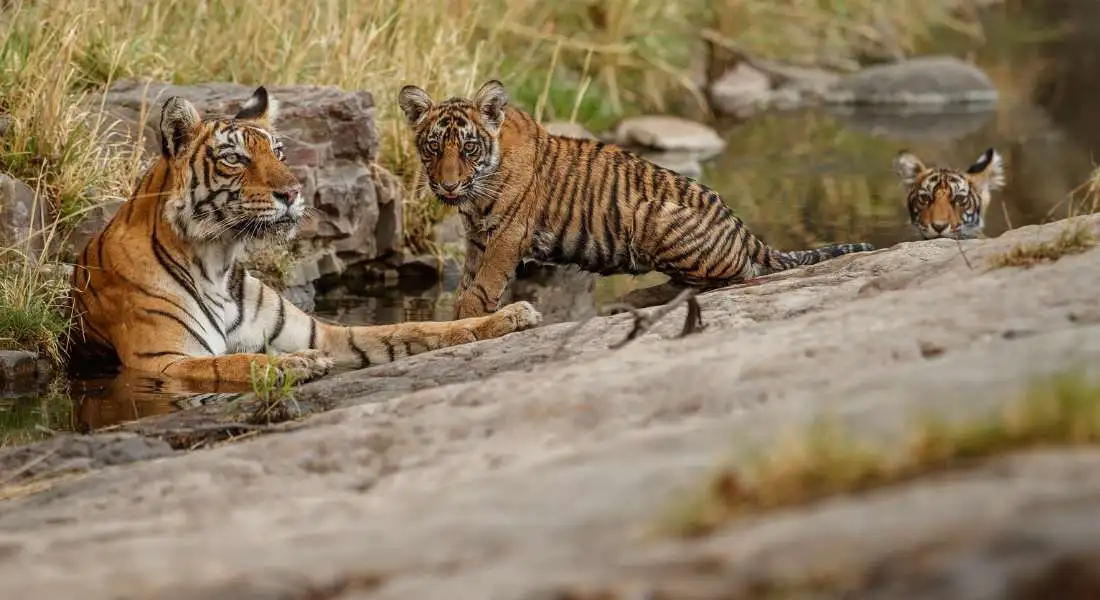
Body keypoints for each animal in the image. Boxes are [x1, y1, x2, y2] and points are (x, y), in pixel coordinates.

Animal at [67, 84, 541, 383]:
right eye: (234, 158)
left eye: (277, 151)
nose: (293, 192)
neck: (217, 256)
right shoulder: (163, 361)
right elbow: (232, 363)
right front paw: (293, 364)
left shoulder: (325, 333)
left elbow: (413, 329)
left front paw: (509, 316)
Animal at [398, 83, 875, 323]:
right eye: (434, 147)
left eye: (469, 148)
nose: (448, 187)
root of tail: (741, 226)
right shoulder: (478, 236)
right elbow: (467, 284)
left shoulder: (506, 235)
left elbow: (482, 287)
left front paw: (468, 322)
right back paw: (630, 300)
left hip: (651, 216)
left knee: (733, 277)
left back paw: (633, 299)